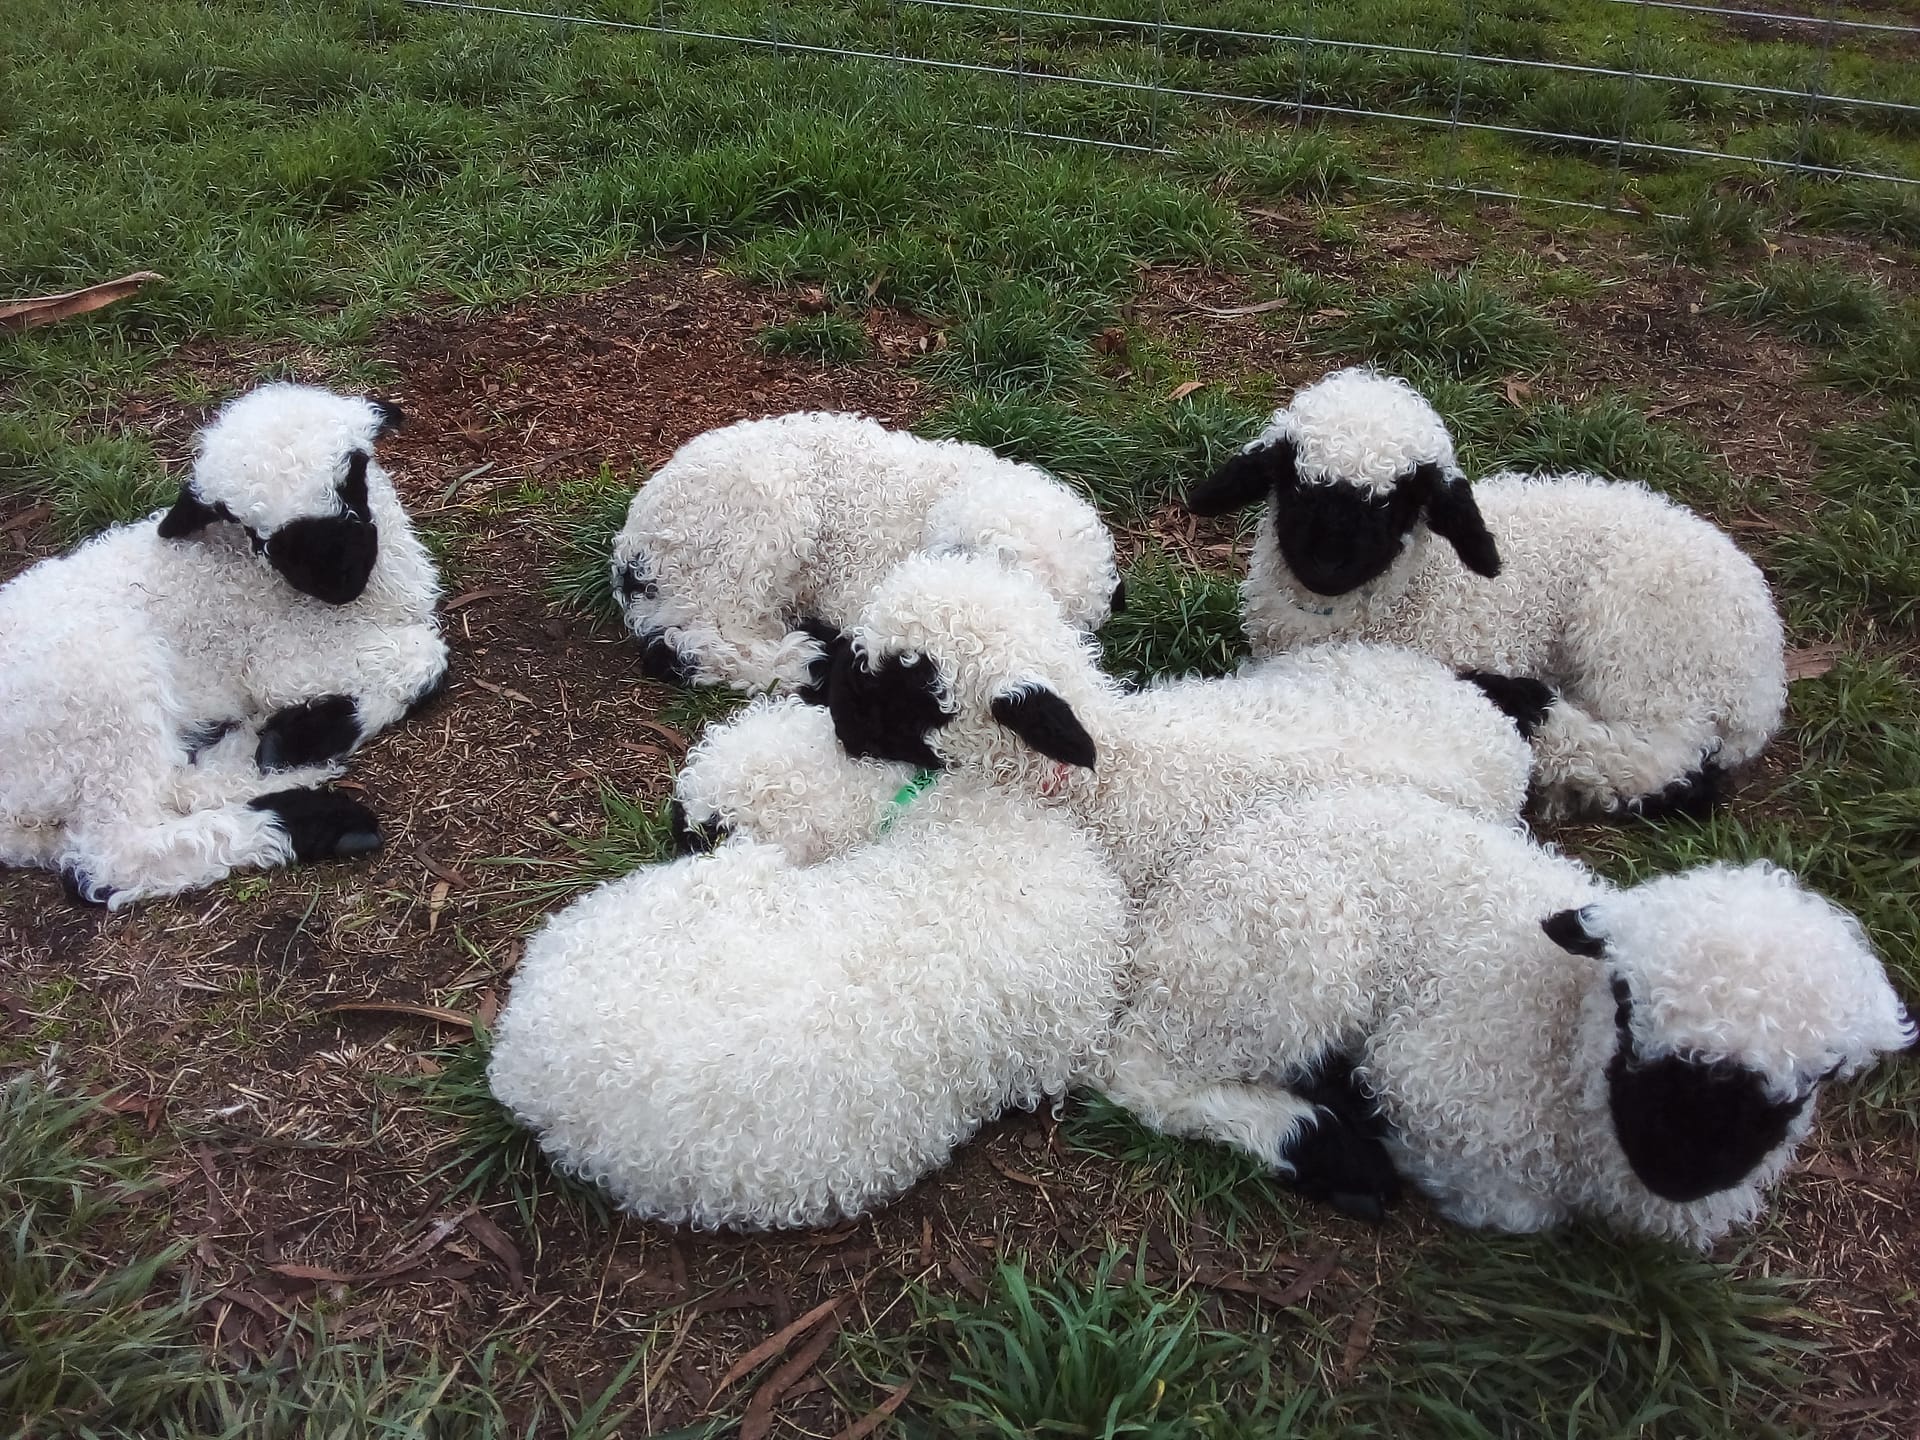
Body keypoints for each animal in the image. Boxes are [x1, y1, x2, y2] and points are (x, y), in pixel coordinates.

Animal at [0, 383, 448, 908]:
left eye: (349, 477)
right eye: (253, 529)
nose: (337, 582)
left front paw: (295, 738)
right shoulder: (282, 655)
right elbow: (426, 657)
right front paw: (309, 733)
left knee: (175, 787)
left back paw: (271, 761)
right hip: (100, 699)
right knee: (115, 850)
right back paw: (316, 821)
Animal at [1101, 783, 1914, 1246]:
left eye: (1818, 1077)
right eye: (1627, 1007)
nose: (1680, 1171)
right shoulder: (1435, 1083)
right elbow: (1512, 1207)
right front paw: (1363, 1125)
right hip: (1287, 962)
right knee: (1148, 1077)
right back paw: (1325, 1145)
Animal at [1183, 367, 1787, 819]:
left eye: (1401, 499)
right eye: (1295, 483)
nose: (1327, 563)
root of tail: (1765, 677)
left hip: (1642, 651)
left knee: (1660, 762)